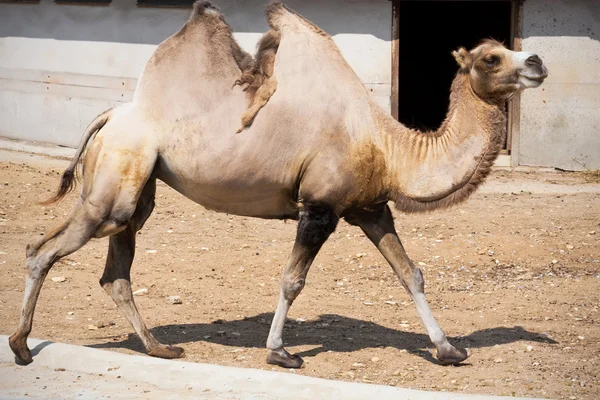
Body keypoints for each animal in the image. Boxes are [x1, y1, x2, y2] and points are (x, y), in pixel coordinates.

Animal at [8, 1, 548, 368]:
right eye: (491, 58)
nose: (538, 62)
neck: (389, 147)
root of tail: (110, 115)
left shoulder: (371, 208)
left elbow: (410, 272)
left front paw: (448, 348)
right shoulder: (320, 207)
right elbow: (292, 280)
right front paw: (280, 352)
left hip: (139, 186)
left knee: (116, 272)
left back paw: (160, 347)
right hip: (116, 181)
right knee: (42, 249)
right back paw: (21, 347)